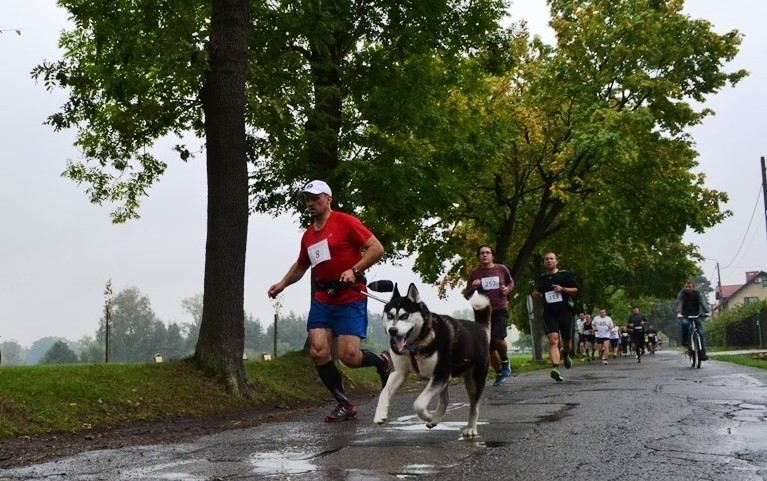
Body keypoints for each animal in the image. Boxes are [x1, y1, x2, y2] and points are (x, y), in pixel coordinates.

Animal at [374, 284, 492, 436]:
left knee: (474, 406)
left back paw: (470, 427)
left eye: (405, 316)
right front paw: (380, 414)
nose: (393, 330)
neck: (414, 346)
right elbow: (384, 393)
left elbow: (418, 404)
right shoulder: (400, 372)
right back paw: (436, 418)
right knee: (446, 400)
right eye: (389, 316)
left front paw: (428, 415)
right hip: (447, 379)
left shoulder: (440, 374)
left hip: (474, 380)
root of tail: (481, 328)